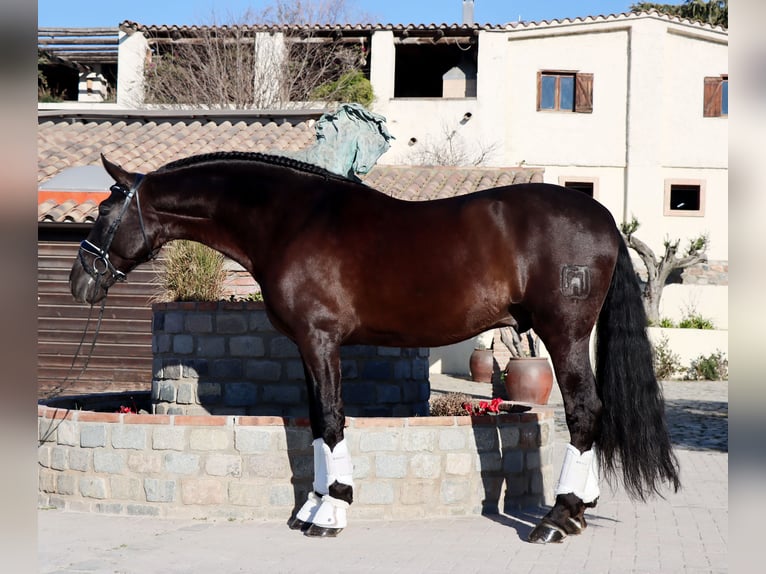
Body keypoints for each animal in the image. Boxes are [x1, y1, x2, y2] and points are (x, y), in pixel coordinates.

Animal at [69, 152, 680, 544]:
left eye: (102, 213)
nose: (80, 282)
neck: (290, 221)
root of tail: (602, 217)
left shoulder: (321, 340)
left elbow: (332, 418)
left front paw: (330, 511)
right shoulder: (308, 347)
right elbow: (316, 420)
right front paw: (313, 505)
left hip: (565, 333)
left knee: (584, 412)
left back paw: (558, 518)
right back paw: (579, 508)